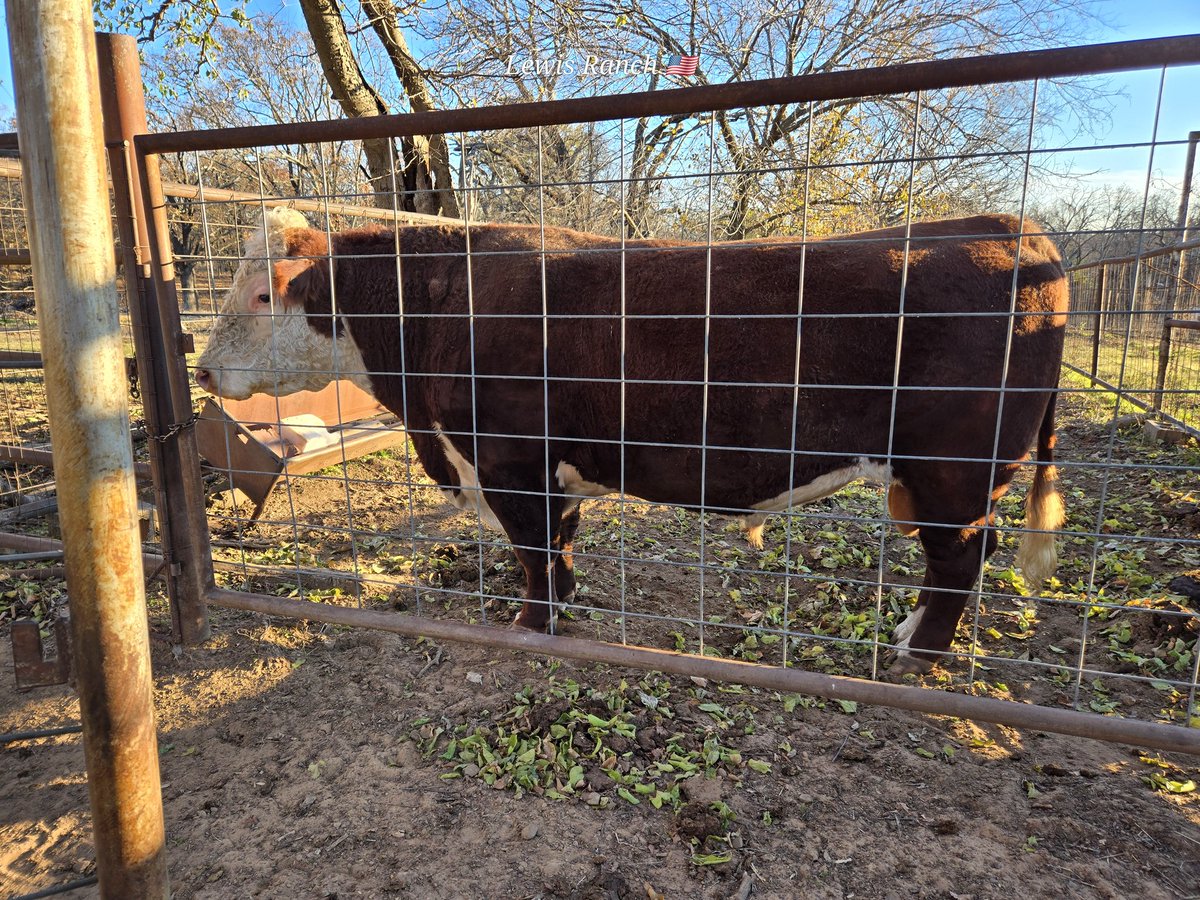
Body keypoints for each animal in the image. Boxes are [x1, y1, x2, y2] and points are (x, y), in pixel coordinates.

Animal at [195, 207, 1068, 675]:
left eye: (264, 292)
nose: (201, 369)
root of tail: (1016, 229)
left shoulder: (508, 461)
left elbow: (533, 553)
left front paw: (532, 624)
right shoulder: (550, 468)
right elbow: (560, 545)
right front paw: (564, 602)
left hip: (952, 472)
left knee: (960, 558)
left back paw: (918, 653)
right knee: (961, 559)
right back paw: (911, 633)